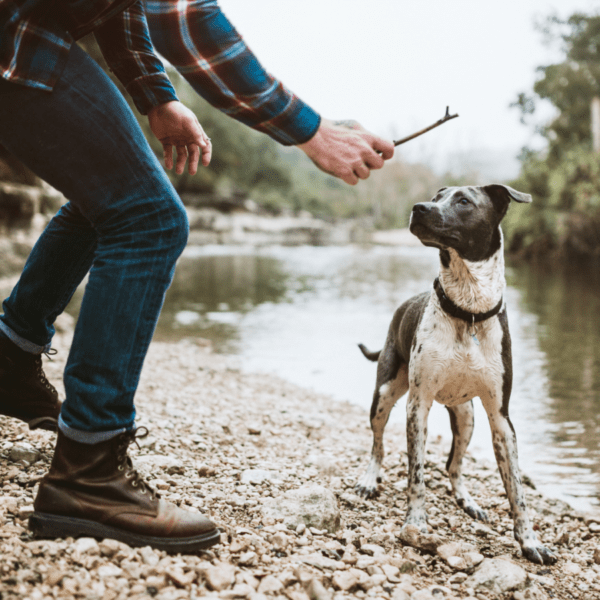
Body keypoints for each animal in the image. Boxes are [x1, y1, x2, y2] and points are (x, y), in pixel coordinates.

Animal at [356, 185, 556, 564]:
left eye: (464, 201)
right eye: (437, 196)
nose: (419, 208)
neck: (469, 310)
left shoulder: (501, 419)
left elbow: (517, 491)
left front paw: (530, 542)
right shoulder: (417, 406)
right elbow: (416, 474)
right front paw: (415, 522)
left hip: (466, 417)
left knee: (454, 465)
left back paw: (467, 500)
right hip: (385, 394)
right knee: (377, 444)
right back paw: (369, 480)